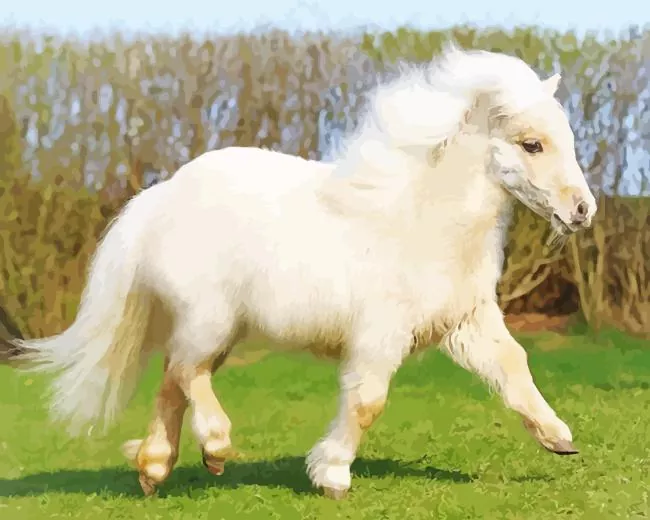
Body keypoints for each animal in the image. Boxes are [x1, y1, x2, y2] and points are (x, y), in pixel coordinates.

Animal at [2, 46, 597, 499]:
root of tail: (160, 198)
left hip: (216, 330)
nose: (582, 211)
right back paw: (214, 449)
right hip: (210, 319)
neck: (422, 222)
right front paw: (331, 475)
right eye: (531, 144)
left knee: (174, 378)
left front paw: (559, 438)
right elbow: (367, 402)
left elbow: (513, 366)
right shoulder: (380, 337)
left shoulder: (466, 322)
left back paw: (155, 468)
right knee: (186, 373)